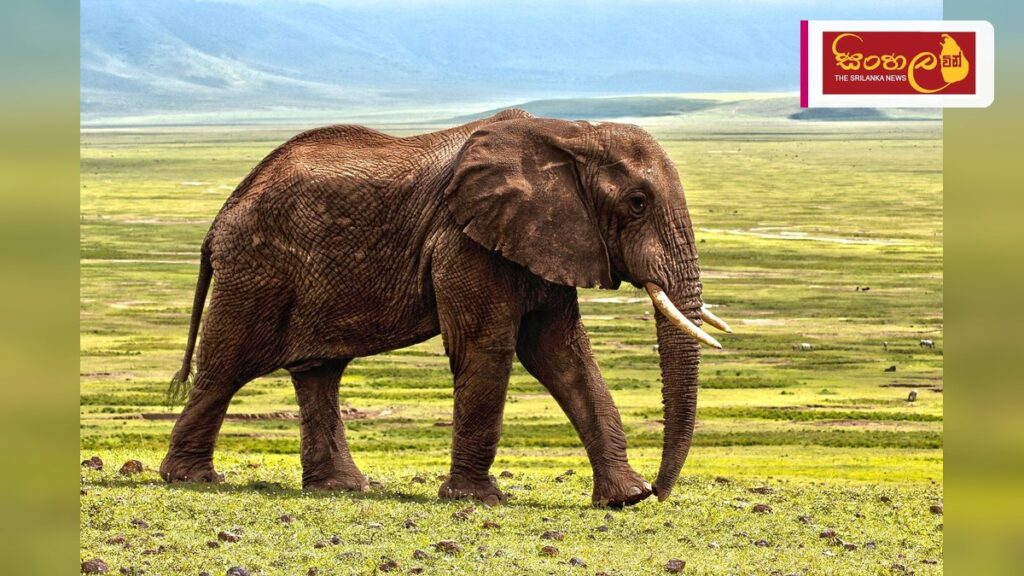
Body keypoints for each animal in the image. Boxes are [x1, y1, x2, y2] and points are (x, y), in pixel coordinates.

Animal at [159, 108, 731, 507]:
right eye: (637, 203)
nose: (660, 491)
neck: (569, 133)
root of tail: (220, 216)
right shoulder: (464, 240)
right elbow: (488, 347)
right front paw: (479, 500)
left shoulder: (544, 238)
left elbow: (562, 354)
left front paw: (624, 499)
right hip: (256, 269)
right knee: (227, 365)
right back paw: (191, 479)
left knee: (318, 372)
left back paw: (341, 489)